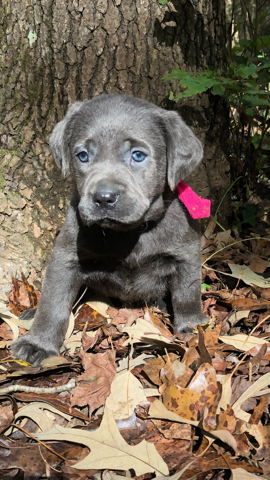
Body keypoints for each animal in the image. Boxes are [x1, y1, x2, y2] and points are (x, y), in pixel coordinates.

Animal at [12, 94, 207, 364]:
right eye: (83, 156)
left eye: (138, 155)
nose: (104, 197)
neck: (129, 233)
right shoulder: (65, 257)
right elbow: (53, 303)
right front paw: (37, 343)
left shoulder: (186, 255)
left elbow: (187, 295)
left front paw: (193, 328)